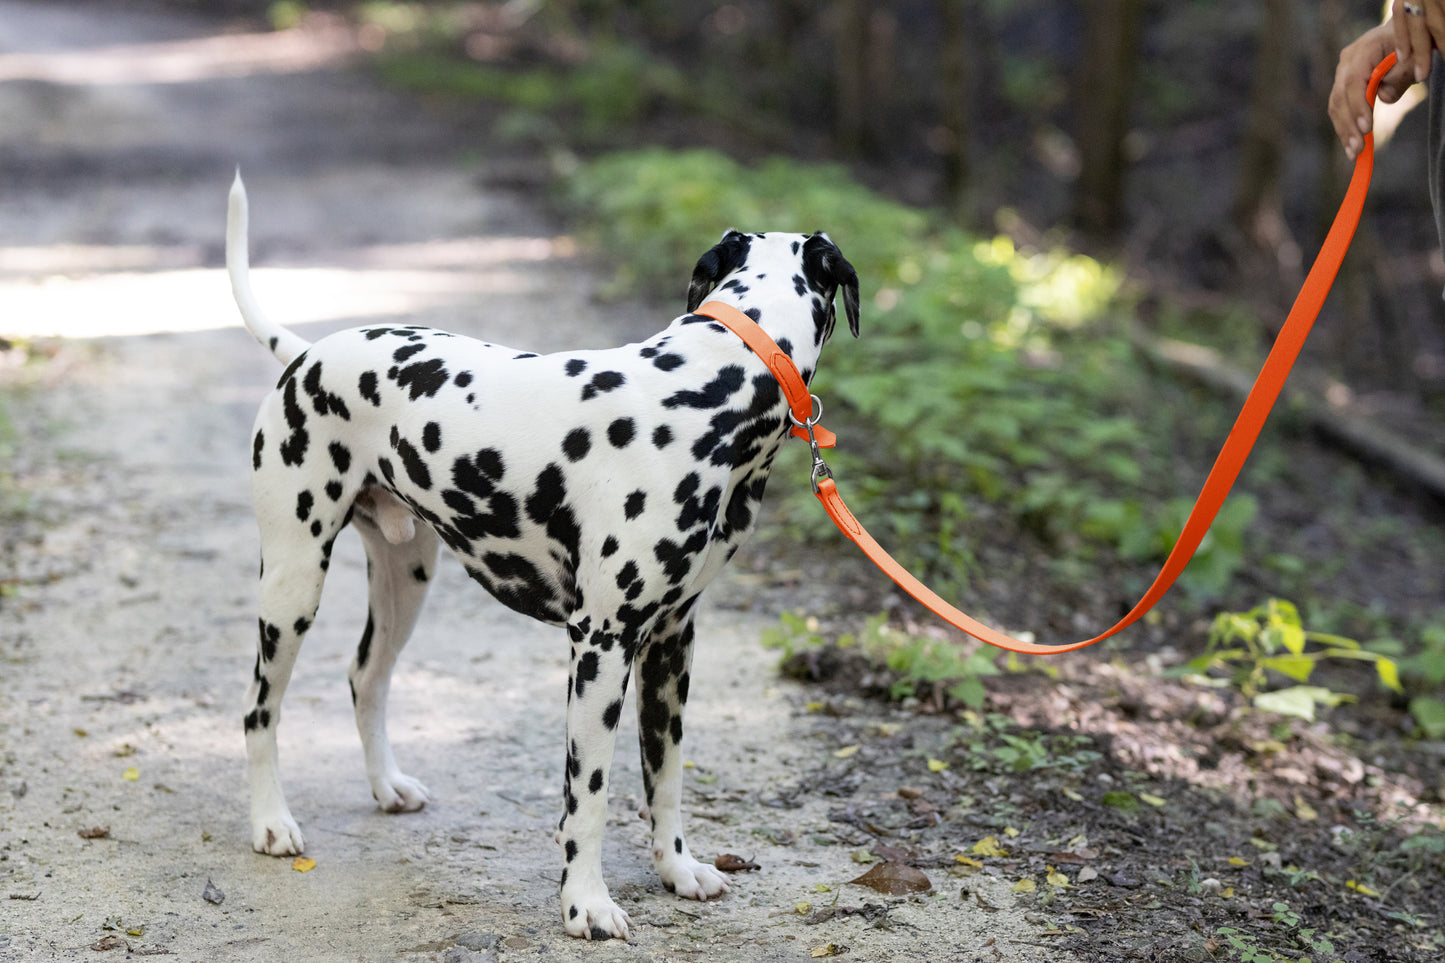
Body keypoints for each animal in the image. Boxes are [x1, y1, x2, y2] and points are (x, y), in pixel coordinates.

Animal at [225, 174, 855, 936]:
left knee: (364, 678)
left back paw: (386, 785)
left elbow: (665, 778)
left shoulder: (671, 642)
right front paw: (586, 903)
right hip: (292, 585)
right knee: (259, 708)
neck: (711, 383)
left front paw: (677, 869)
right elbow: (589, 794)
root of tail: (309, 352)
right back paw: (271, 821)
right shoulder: (602, 643)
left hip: (406, 581)